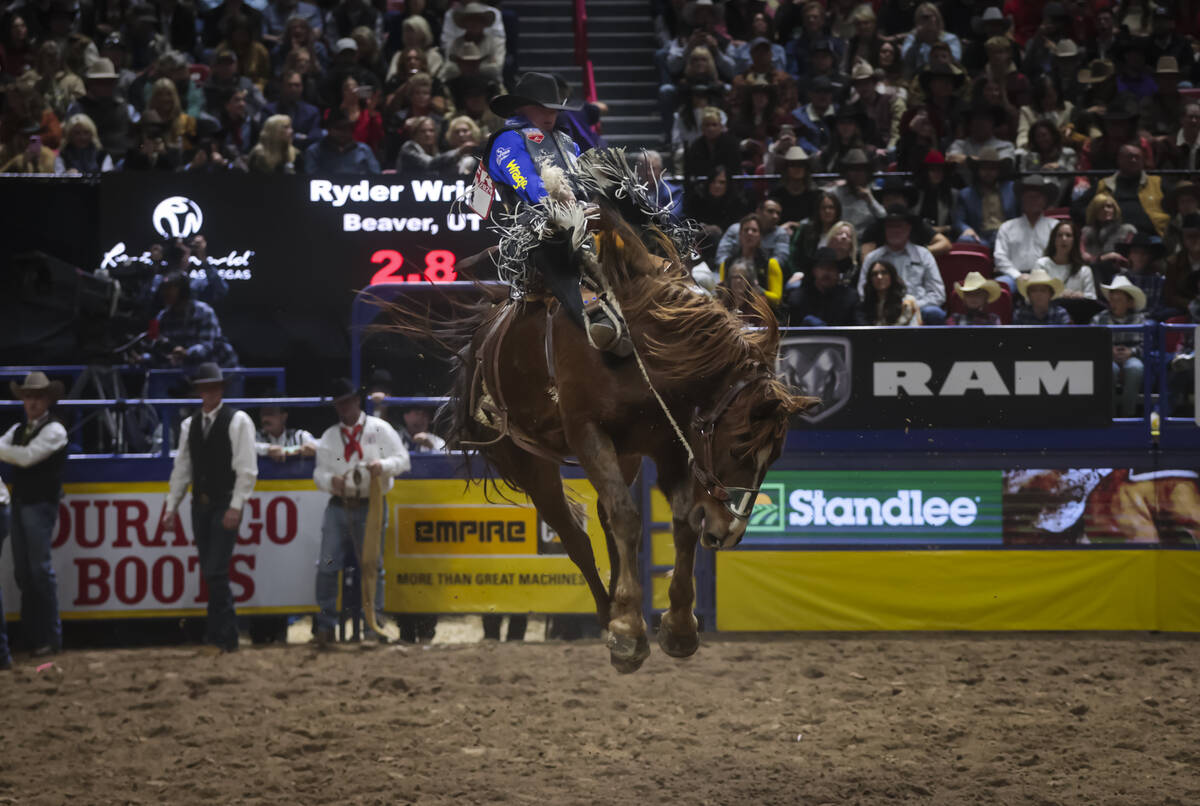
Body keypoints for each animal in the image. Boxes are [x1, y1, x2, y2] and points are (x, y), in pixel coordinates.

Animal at [384, 201, 816, 671]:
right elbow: (627, 519)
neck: (641, 346)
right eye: (739, 446)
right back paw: (612, 615)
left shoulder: (668, 444)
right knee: (576, 536)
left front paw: (679, 627)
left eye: (775, 457)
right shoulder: (587, 432)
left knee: (608, 519)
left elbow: (680, 520)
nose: (730, 533)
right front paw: (627, 630)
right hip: (528, 460)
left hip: (624, 456)